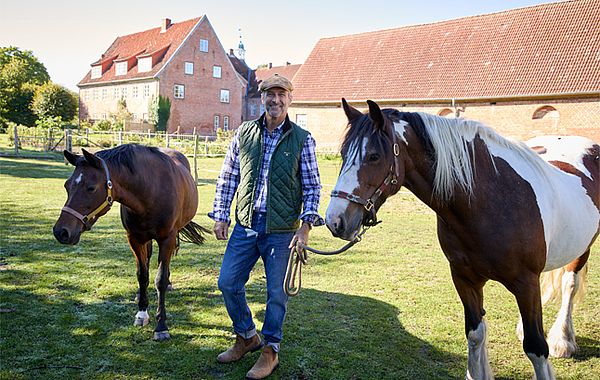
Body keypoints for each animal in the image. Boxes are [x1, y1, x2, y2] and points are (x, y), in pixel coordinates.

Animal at [54, 144, 209, 340]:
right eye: (67, 185)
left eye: (91, 188)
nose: (61, 232)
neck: (151, 190)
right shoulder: (135, 239)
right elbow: (142, 275)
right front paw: (142, 312)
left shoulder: (167, 239)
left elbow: (160, 279)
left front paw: (161, 326)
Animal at [326, 100, 596, 380]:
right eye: (343, 154)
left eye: (374, 156)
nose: (335, 220)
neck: (490, 200)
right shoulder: (465, 278)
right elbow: (475, 334)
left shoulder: (525, 282)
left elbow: (536, 347)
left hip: (582, 250)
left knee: (569, 285)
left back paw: (563, 340)